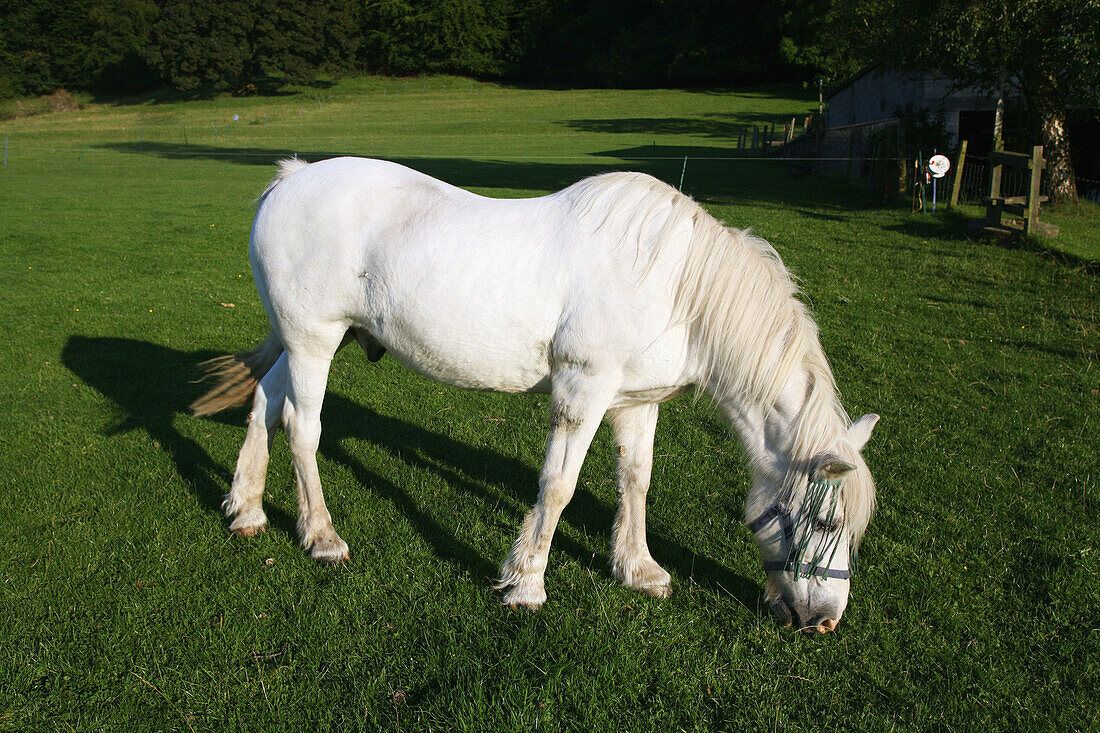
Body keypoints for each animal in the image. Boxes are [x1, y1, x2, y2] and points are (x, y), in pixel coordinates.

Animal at [189, 157, 875, 629]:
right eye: (822, 518)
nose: (825, 620)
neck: (677, 285)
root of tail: (292, 179)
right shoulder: (583, 390)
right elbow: (559, 486)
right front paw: (526, 583)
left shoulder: (636, 402)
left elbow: (636, 479)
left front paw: (637, 568)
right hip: (314, 341)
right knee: (303, 428)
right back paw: (321, 537)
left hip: (302, 342)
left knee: (264, 404)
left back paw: (246, 509)